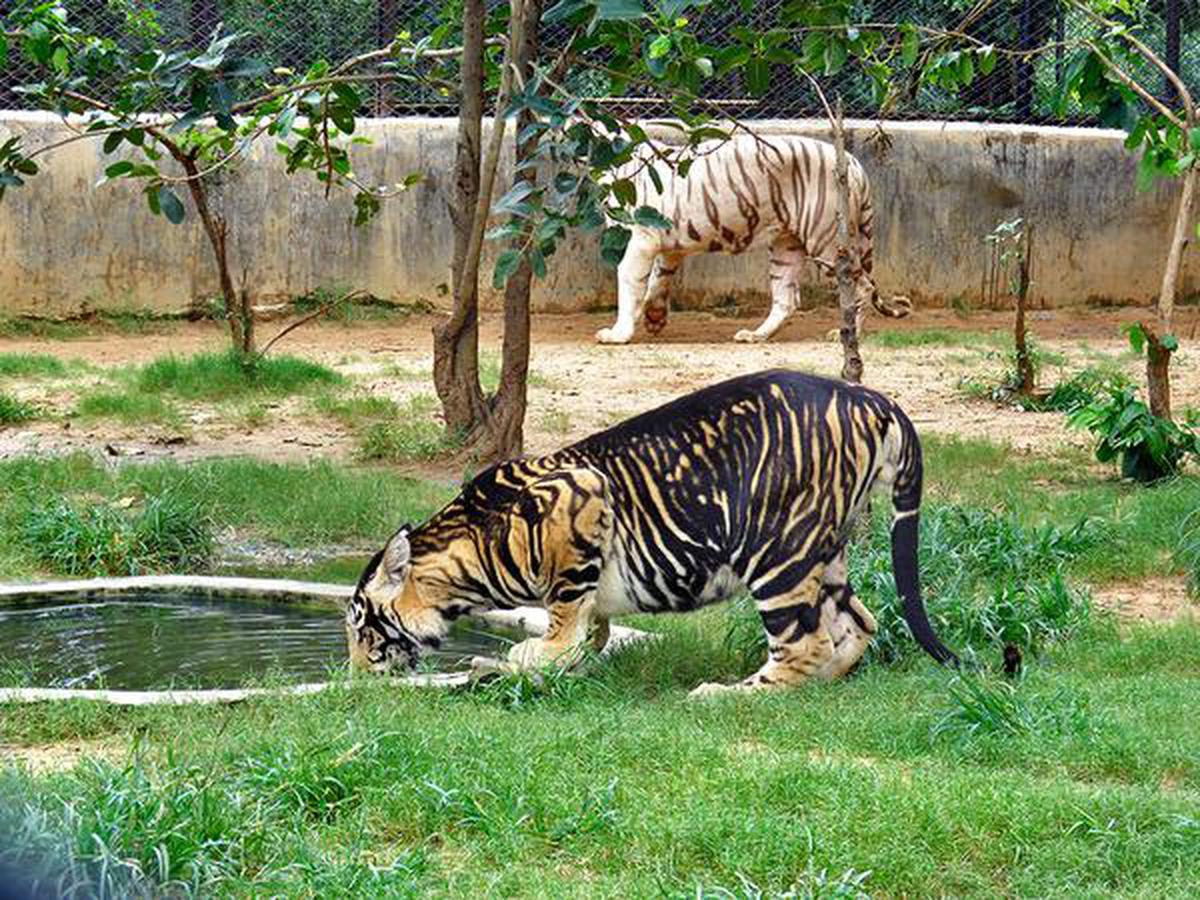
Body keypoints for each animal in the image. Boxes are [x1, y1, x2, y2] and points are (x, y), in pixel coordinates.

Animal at [348, 369, 955, 696]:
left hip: (778, 549)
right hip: (824, 552)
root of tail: (871, 398)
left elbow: (563, 625)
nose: (354, 674)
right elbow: (584, 633)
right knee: (857, 625)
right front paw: (522, 665)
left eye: (361, 627)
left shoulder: (580, 500)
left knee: (804, 644)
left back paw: (725, 694)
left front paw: (518, 660)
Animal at [595, 133, 912, 345]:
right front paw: (654, 318)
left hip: (827, 241)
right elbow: (657, 281)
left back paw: (844, 333)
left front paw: (618, 333)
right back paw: (756, 335)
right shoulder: (668, 246)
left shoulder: (642, 238)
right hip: (786, 246)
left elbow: (630, 281)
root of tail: (855, 163)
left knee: (861, 286)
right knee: (787, 299)